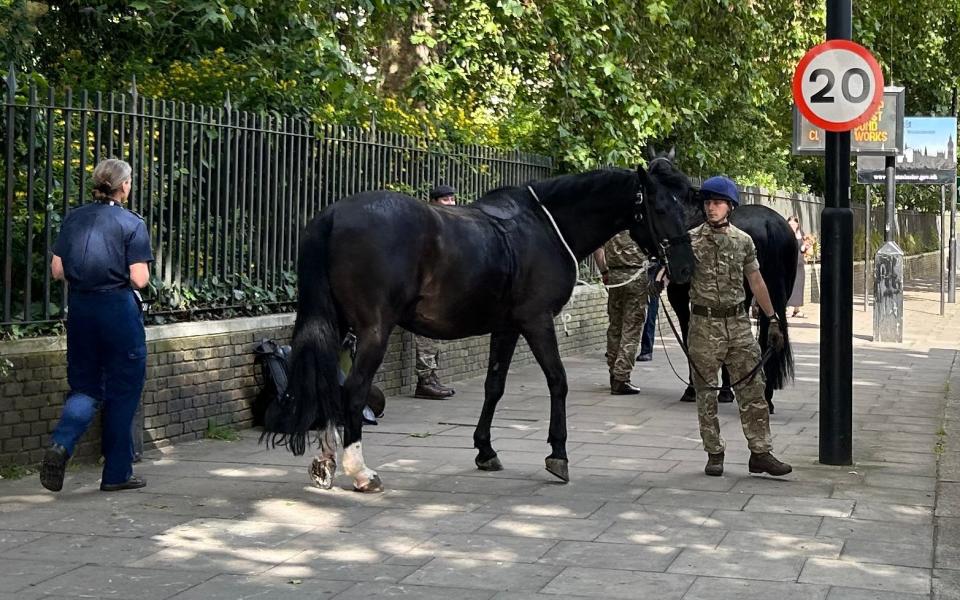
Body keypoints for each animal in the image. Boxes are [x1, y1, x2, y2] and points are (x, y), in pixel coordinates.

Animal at [266, 159, 692, 492]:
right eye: (659, 207)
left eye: (684, 204)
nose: (685, 269)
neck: (546, 226)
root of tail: (333, 216)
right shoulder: (536, 320)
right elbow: (558, 380)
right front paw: (558, 453)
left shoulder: (506, 326)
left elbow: (494, 385)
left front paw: (485, 449)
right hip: (374, 329)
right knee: (352, 390)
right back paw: (361, 472)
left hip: (335, 323)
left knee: (327, 384)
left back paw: (325, 461)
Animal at [664, 197, 800, 412]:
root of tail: (770, 224)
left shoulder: (680, 299)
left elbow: (688, 337)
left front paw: (696, 389)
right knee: (768, 336)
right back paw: (766, 396)